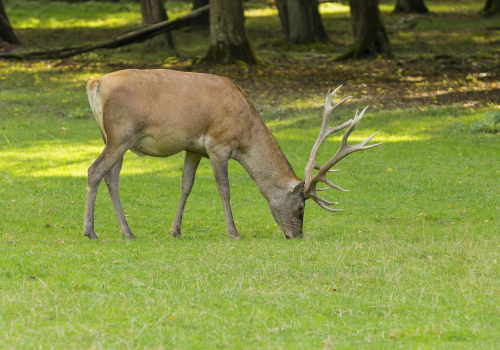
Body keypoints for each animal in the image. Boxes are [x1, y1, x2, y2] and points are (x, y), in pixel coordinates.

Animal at [84, 68, 380, 241]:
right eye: (300, 207)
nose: (296, 235)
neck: (245, 130)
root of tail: (94, 83)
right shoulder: (219, 143)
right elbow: (224, 189)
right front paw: (234, 232)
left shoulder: (193, 147)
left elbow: (186, 186)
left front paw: (175, 230)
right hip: (122, 134)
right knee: (94, 171)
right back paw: (91, 231)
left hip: (111, 137)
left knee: (112, 177)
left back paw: (127, 231)